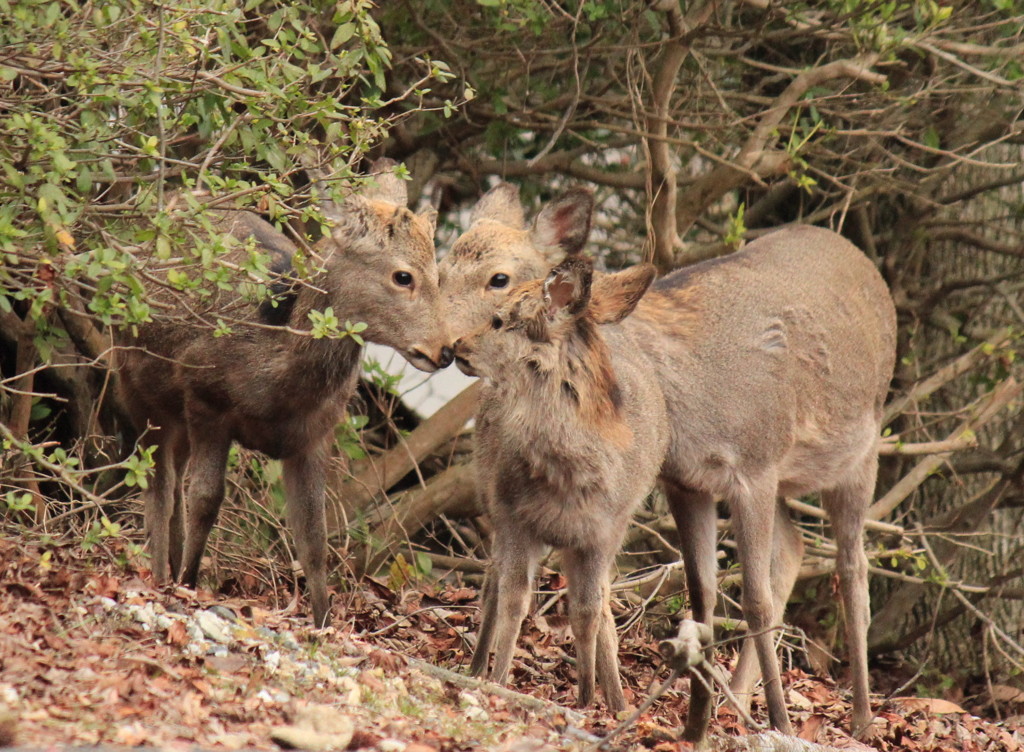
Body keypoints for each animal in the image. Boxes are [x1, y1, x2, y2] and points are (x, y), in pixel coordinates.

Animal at [114, 160, 450, 631]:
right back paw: (163, 574)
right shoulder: (205, 401)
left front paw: (324, 622)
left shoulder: (315, 436)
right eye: (403, 276)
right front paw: (188, 585)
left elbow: (314, 535)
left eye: (440, 274)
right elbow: (206, 500)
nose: (444, 350)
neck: (274, 384)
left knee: (173, 477)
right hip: (132, 382)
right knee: (159, 484)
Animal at [440, 184, 897, 741]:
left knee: (852, 567)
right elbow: (702, 596)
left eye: (499, 279)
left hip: (861, 449)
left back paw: (861, 717)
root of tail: (864, 262)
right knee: (794, 547)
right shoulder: (686, 480)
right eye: (443, 264)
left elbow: (753, 599)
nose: (449, 345)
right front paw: (697, 719)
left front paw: (781, 720)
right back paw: (739, 697)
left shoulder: (755, 464)